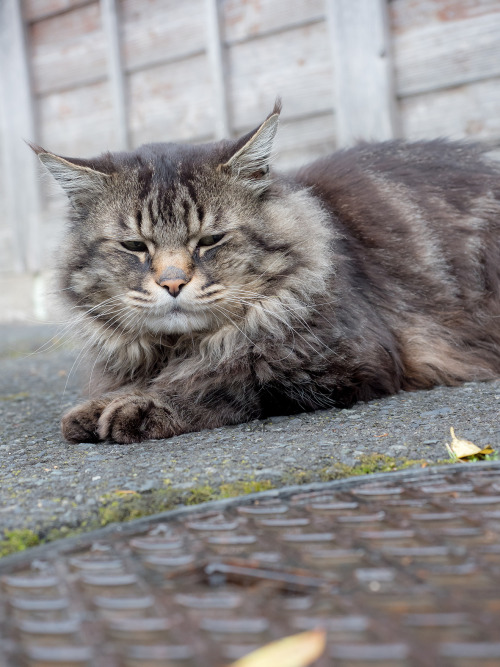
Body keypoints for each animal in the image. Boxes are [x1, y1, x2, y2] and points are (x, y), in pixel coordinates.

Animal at [31, 100, 500, 444]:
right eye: (134, 247)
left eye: (210, 240)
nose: (172, 283)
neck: (181, 348)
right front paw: (97, 408)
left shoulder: (346, 362)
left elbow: (228, 378)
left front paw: (141, 405)